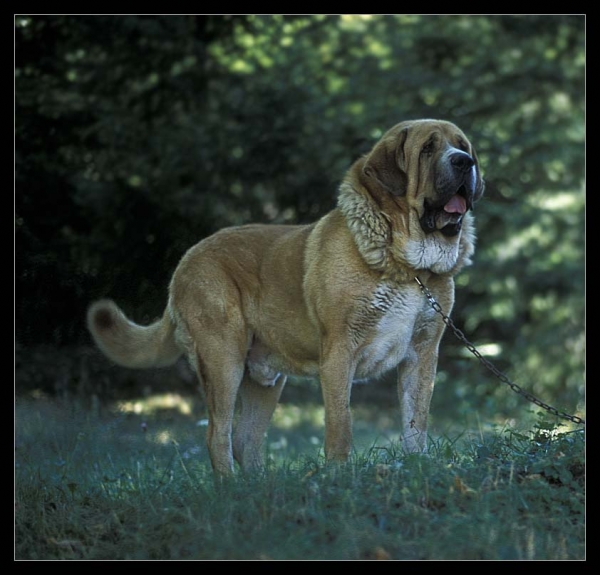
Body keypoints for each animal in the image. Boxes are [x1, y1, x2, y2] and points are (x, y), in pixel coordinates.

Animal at [88, 118, 482, 476]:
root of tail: (186, 260)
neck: (407, 265)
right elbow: (341, 425)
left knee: (246, 440)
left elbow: (416, 421)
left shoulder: (422, 354)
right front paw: (338, 476)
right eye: (428, 148)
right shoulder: (339, 353)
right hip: (222, 359)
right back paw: (230, 488)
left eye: (462, 145)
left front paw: (418, 466)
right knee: (218, 435)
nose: (465, 161)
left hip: (264, 380)